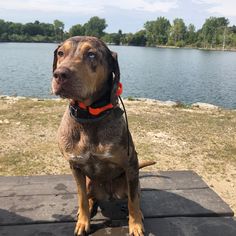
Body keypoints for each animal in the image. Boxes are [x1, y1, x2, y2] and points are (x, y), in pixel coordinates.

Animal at [51, 36, 155, 235]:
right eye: (60, 53)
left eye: (91, 54)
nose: (59, 74)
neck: (89, 115)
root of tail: (109, 195)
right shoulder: (75, 166)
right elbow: (81, 197)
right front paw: (83, 222)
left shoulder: (131, 164)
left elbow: (133, 200)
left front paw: (135, 224)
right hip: (91, 183)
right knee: (90, 197)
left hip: (130, 180)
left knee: (134, 195)